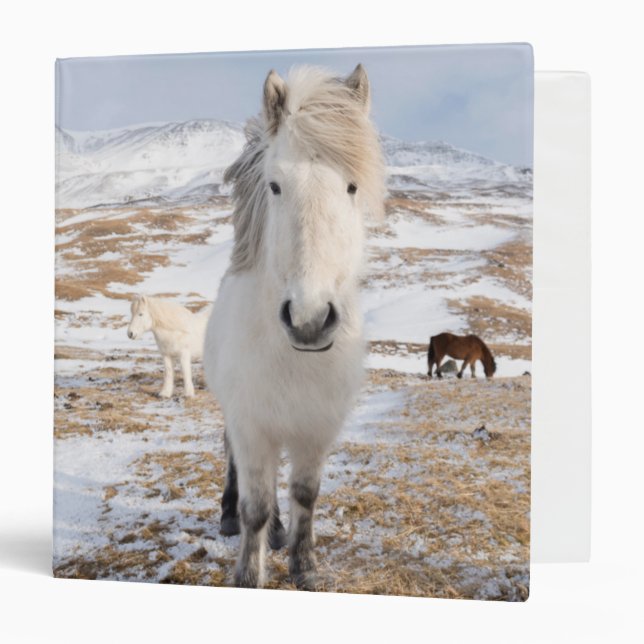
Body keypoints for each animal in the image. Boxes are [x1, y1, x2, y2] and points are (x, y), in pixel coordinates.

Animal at [203, 64, 385, 589]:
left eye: (351, 187)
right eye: (275, 186)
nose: (309, 319)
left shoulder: (315, 429)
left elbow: (305, 494)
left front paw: (305, 566)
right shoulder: (251, 426)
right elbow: (256, 506)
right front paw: (248, 575)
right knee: (235, 468)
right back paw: (229, 517)